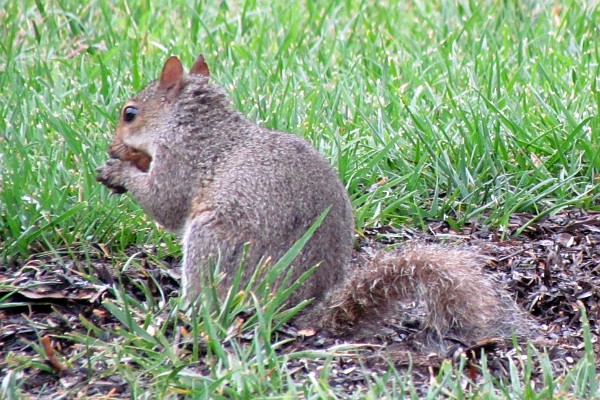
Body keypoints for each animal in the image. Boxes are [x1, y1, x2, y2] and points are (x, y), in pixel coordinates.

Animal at [97, 54, 528, 350]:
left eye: (129, 113)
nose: (113, 147)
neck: (197, 124)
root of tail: (301, 306)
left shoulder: (183, 160)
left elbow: (165, 203)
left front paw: (118, 172)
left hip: (213, 243)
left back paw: (182, 310)